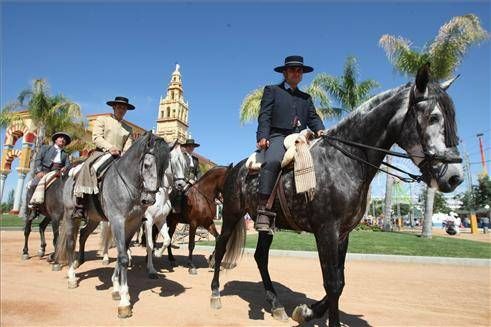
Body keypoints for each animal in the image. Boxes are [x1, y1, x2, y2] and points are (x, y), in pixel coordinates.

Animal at [56, 132, 169, 320]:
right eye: (147, 165)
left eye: (165, 167)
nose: (149, 199)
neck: (126, 184)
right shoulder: (117, 221)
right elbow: (123, 257)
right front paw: (124, 302)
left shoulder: (132, 223)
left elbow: (122, 254)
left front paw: (116, 288)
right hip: (71, 215)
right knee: (71, 242)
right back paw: (72, 277)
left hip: (94, 219)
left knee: (84, 234)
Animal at [210, 65, 466, 326]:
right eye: (434, 117)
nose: (455, 177)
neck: (343, 160)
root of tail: (236, 168)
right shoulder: (327, 231)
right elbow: (332, 283)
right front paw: (318, 314)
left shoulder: (343, 233)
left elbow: (340, 281)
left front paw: (308, 311)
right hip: (231, 214)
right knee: (221, 247)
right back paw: (216, 294)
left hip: (268, 225)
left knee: (261, 257)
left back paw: (276, 305)